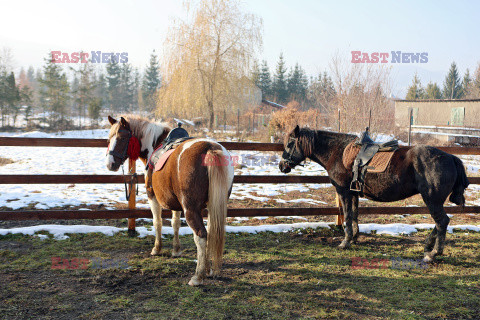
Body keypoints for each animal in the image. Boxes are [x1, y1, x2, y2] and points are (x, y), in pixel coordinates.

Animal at [106, 115, 233, 284]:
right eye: (109, 138)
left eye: (121, 138)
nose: (110, 164)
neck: (155, 143)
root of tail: (209, 149)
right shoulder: (176, 203)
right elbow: (175, 224)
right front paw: (176, 250)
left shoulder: (152, 195)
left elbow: (157, 223)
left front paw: (157, 248)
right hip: (214, 206)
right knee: (212, 233)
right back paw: (210, 269)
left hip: (191, 209)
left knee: (201, 235)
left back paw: (198, 276)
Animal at [278, 125, 468, 262]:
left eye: (290, 144)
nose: (281, 166)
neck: (338, 152)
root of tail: (451, 157)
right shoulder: (353, 193)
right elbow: (354, 215)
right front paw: (354, 237)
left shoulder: (344, 192)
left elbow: (347, 215)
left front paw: (345, 242)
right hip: (434, 200)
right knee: (440, 222)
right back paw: (428, 246)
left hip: (431, 199)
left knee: (442, 221)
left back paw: (433, 253)